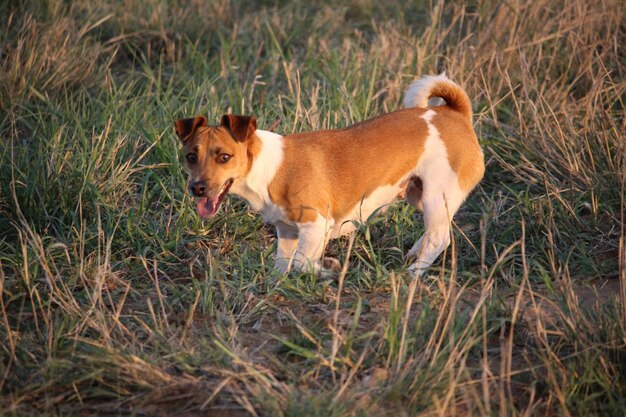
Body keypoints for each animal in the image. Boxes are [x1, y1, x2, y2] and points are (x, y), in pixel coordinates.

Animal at [174, 75, 482, 276]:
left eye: (224, 157)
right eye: (191, 157)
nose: (197, 189)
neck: (266, 168)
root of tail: (455, 113)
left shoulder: (315, 225)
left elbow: (301, 263)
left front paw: (325, 269)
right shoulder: (287, 231)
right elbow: (282, 265)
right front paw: (276, 286)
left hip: (435, 196)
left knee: (440, 238)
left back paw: (414, 272)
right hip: (418, 194)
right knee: (436, 231)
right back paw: (414, 255)